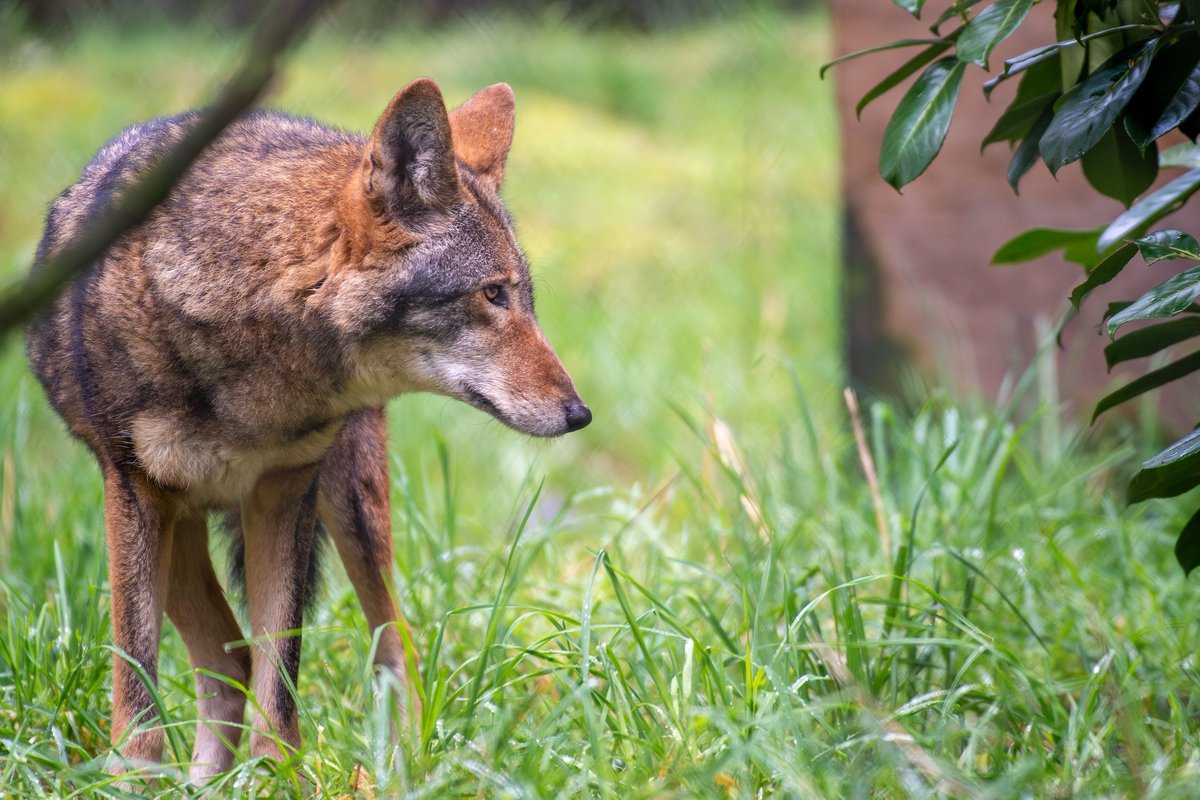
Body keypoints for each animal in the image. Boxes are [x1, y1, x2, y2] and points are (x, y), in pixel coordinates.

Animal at [25, 78, 590, 778]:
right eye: (492, 294)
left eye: (523, 298)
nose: (580, 414)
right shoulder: (134, 492)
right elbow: (139, 694)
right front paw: (134, 781)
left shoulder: (286, 491)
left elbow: (281, 689)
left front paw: (271, 780)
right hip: (174, 525)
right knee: (227, 663)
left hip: (351, 509)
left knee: (392, 650)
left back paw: (396, 776)